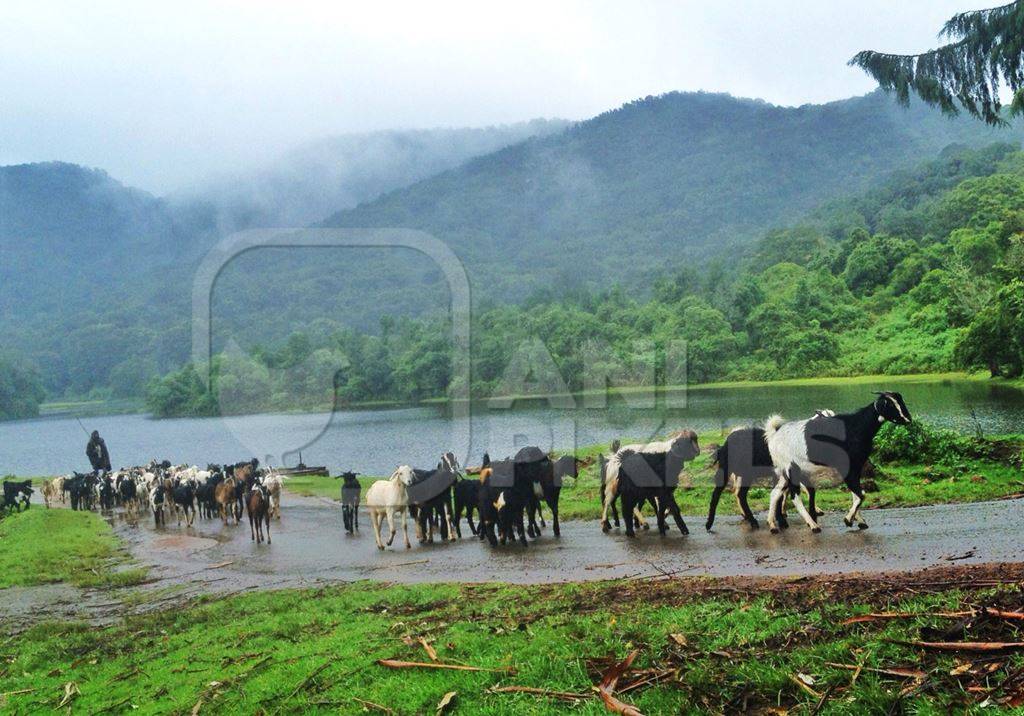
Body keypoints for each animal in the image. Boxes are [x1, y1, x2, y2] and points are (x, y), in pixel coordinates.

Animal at [765, 391, 917, 532]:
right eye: (890, 404)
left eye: (900, 401)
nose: (908, 419)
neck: (854, 427)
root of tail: (774, 436)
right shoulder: (848, 467)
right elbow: (861, 494)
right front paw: (848, 520)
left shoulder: (855, 467)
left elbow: (856, 494)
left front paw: (859, 520)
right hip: (791, 469)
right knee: (794, 496)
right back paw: (813, 525)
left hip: (784, 471)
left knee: (775, 493)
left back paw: (773, 525)